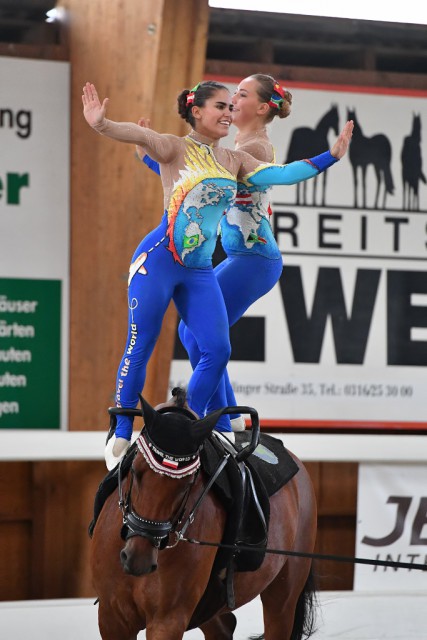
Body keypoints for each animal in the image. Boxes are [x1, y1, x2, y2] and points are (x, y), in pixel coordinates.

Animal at [91, 396, 318, 640]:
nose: (137, 559)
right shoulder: (111, 618)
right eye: (134, 470)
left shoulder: (167, 620)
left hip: (283, 597)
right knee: (225, 626)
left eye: (188, 483)